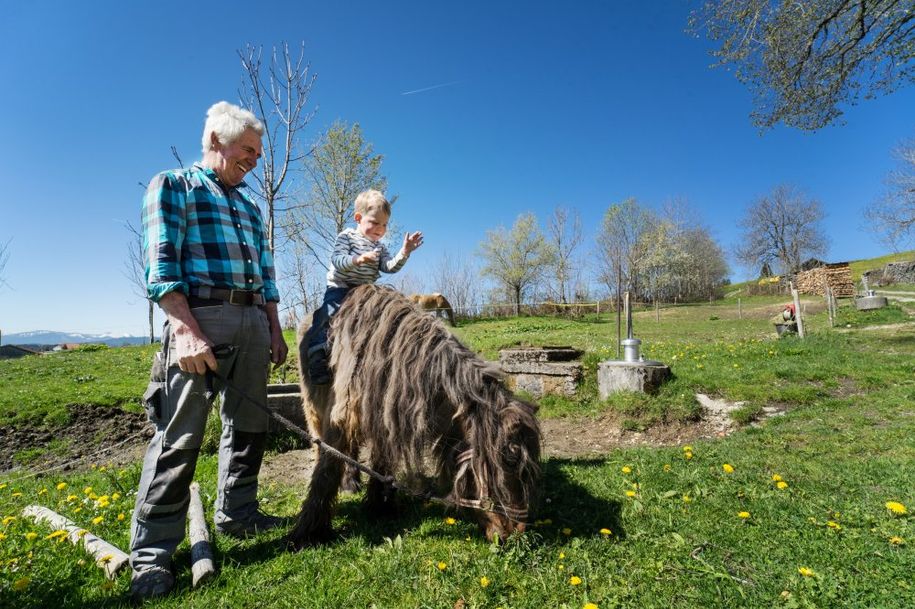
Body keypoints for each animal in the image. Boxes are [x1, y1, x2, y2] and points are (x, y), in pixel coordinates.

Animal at [290, 284, 540, 548]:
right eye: (506, 462)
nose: (515, 534)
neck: (387, 356)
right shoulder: (340, 419)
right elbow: (326, 471)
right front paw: (308, 532)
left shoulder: (385, 419)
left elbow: (381, 463)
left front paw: (380, 506)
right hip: (314, 411)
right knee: (322, 447)